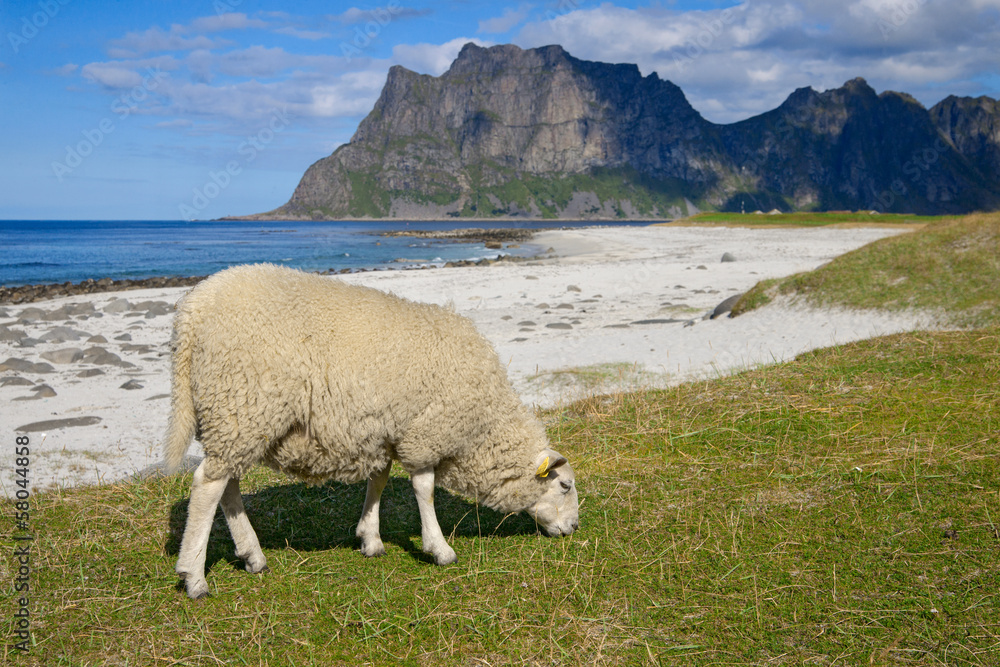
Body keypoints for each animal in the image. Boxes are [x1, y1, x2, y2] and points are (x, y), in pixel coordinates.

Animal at [164, 264, 580, 596]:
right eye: (564, 485)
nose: (574, 527)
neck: (482, 427)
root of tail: (193, 309)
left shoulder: (383, 431)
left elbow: (377, 480)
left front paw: (370, 538)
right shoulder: (422, 433)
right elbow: (424, 489)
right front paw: (439, 548)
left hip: (232, 417)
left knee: (227, 485)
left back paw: (252, 555)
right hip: (243, 404)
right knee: (207, 487)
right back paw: (194, 577)